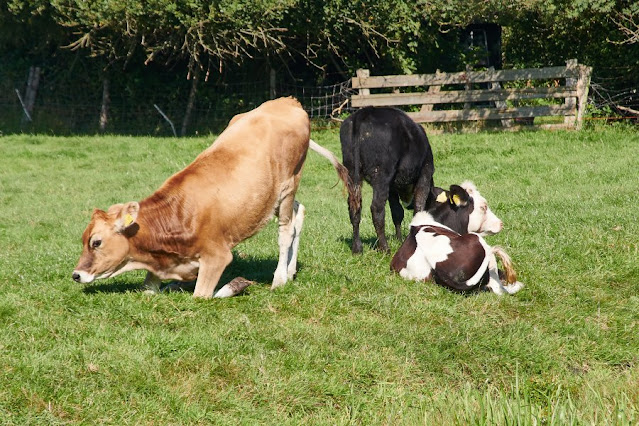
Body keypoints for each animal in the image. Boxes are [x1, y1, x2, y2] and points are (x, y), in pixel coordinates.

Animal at [72, 97, 350, 298]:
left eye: (96, 242)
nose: (76, 275)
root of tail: (288, 101)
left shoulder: (217, 257)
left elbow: (203, 295)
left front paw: (234, 286)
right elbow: (150, 290)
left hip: (289, 185)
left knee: (286, 231)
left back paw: (280, 278)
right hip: (273, 197)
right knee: (299, 213)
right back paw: (291, 272)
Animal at [340, 107, 436, 253]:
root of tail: (364, 112)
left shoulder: (392, 188)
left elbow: (397, 212)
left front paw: (399, 239)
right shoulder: (425, 173)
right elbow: (418, 208)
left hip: (351, 172)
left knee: (354, 208)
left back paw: (357, 249)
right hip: (381, 175)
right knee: (377, 208)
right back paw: (385, 249)